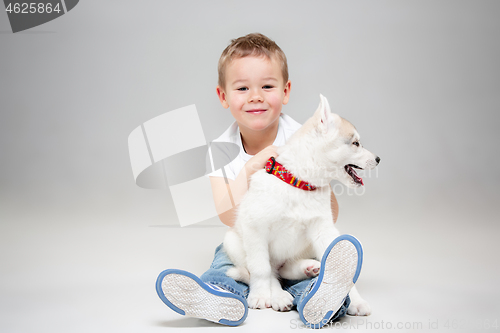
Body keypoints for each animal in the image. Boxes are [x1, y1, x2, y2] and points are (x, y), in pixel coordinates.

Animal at [223, 94, 378, 314]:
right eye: (355, 143)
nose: (378, 159)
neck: (299, 183)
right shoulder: (255, 228)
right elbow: (261, 269)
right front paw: (260, 295)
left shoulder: (324, 231)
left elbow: (340, 270)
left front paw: (355, 300)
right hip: (232, 240)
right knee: (271, 272)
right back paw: (279, 295)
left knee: (286, 270)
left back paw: (309, 268)